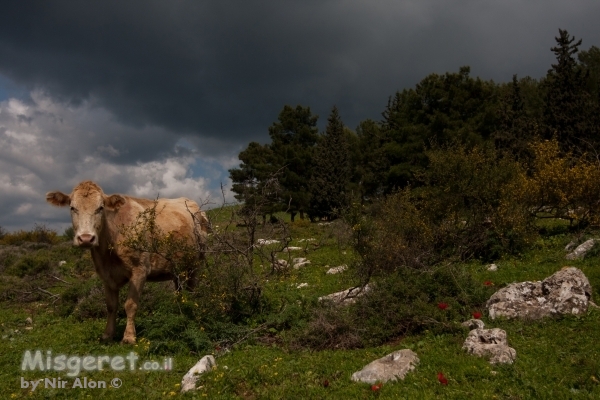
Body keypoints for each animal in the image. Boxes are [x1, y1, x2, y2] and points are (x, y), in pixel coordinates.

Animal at [45, 181, 207, 344]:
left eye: (100, 208)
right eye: (72, 208)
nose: (86, 238)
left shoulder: (140, 270)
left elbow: (130, 305)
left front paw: (129, 337)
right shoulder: (105, 275)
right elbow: (111, 305)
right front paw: (108, 334)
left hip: (197, 263)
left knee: (192, 289)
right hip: (177, 267)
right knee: (179, 290)